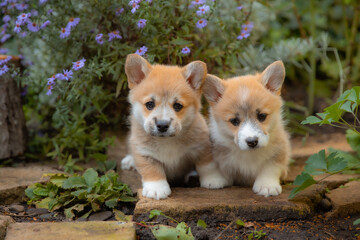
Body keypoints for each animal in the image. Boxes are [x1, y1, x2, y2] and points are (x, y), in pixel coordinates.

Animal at [122, 54, 226, 201]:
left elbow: (207, 165)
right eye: (149, 104)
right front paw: (156, 189)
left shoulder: (202, 147)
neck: (167, 141)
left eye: (177, 106)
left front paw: (213, 180)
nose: (162, 125)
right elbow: (151, 170)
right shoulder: (144, 153)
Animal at [202, 61, 290, 197]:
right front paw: (215, 179)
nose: (252, 142)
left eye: (262, 116)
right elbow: (217, 167)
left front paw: (267, 185)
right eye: (234, 121)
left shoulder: (279, 150)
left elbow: (271, 167)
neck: (249, 154)